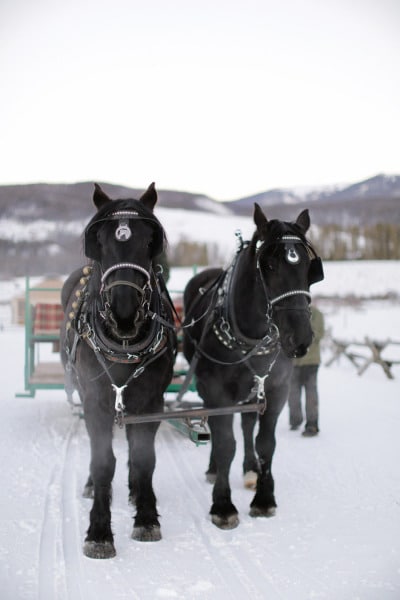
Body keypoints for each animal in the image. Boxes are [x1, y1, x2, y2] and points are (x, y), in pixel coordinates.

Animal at [61, 182, 177, 556]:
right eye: (100, 240)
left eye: (149, 240)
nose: (124, 313)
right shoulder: (95, 399)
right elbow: (102, 461)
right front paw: (99, 531)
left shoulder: (150, 401)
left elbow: (143, 459)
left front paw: (146, 516)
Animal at [183, 204, 324, 528]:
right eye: (268, 266)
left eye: (309, 268)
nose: (300, 338)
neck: (252, 336)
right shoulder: (217, 391)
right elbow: (225, 443)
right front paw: (223, 505)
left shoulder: (276, 389)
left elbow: (265, 443)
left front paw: (264, 498)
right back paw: (214, 469)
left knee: (247, 424)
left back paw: (250, 469)